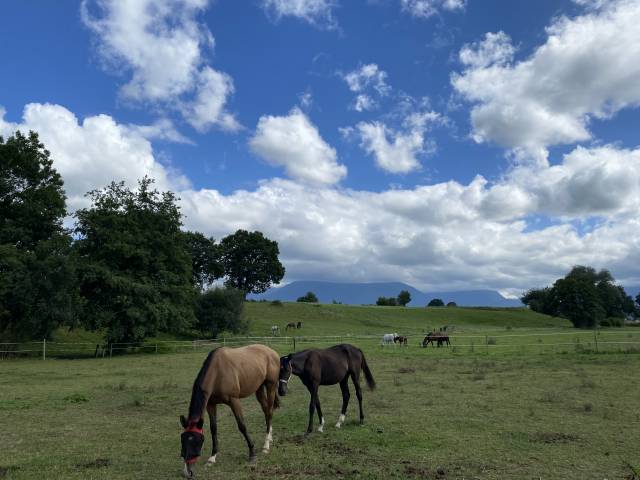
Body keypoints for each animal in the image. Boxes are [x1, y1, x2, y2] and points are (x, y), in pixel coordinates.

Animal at [180, 344, 280, 476]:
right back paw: (270, 437)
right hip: (258, 388)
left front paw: (252, 454)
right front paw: (212, 458)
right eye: (183, 441)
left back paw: (266, 445)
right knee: (266, 411)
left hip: (270, 386)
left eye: (196, 441)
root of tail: (271, 351)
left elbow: (242, 426)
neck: (217, 372)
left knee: (269, 412)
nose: (187, 472)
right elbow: (213, 428)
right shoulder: (210, 405)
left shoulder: (234, 401)